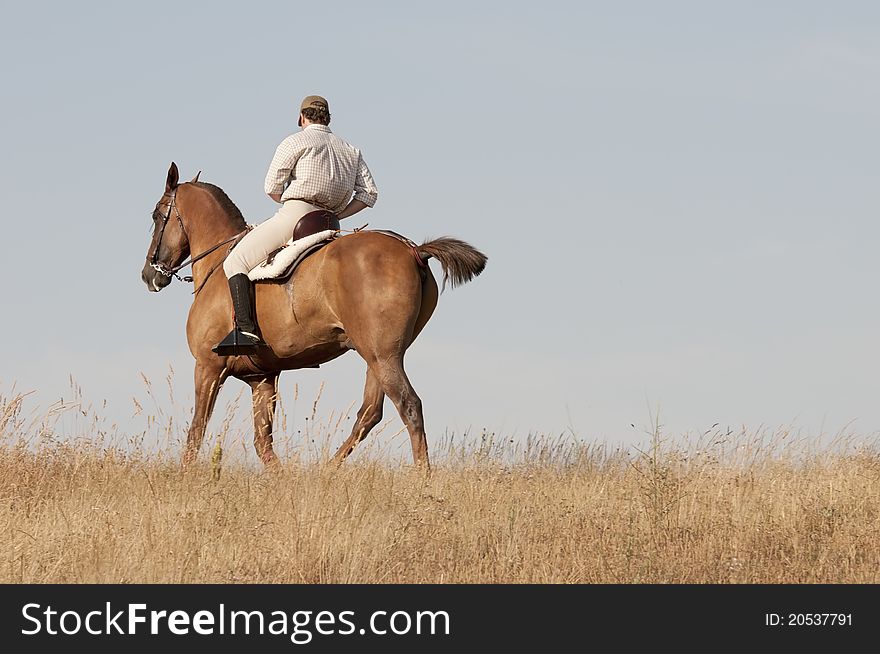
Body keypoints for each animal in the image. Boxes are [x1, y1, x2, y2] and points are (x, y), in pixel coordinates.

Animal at [142, 165, 492, 472]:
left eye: (157, 215)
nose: (149, 275)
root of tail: (413, 250)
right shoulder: (263, 377)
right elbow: (263, 443)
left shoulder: (208, 367)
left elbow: (197, 431)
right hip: (380, 355)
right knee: (369, 413)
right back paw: (327, 471)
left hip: (382, 355)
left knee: (409, 406)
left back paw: (423, 479)